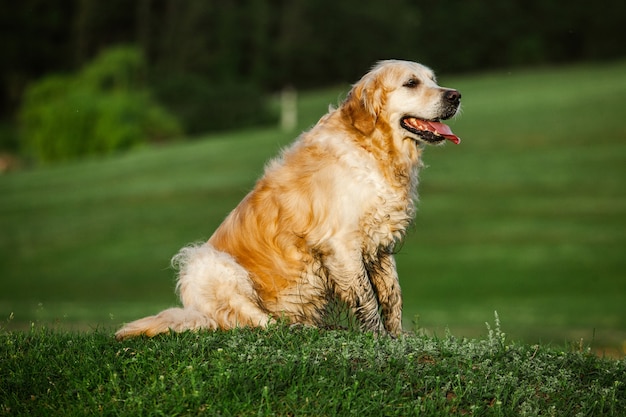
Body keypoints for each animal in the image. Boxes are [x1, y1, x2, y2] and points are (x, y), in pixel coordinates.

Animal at [116, 60, 458, 340]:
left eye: (433, 79)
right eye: (411, 83)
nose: (455, 96)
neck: (374, 150)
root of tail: (194, 312)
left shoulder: (380, 244)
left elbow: (392, 295)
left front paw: (397, 337)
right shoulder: (342, 243)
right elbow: (368, 299)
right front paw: (378, 339)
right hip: (205, 262)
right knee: (256, 322)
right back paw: (301, 328)